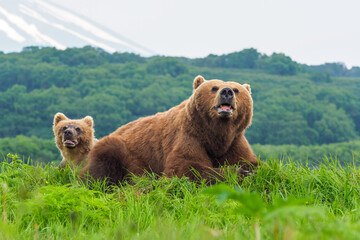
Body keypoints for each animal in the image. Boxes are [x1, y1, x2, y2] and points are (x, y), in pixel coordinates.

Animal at [83, 76, 258, 183]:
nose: (226, 92)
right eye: (214, 88)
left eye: (237, 90)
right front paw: (237, 171)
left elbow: (249, 161)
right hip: (119, 151)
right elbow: (185, 167)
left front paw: (248, 169)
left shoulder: (234, 141)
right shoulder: (189, 136)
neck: (215, 133)